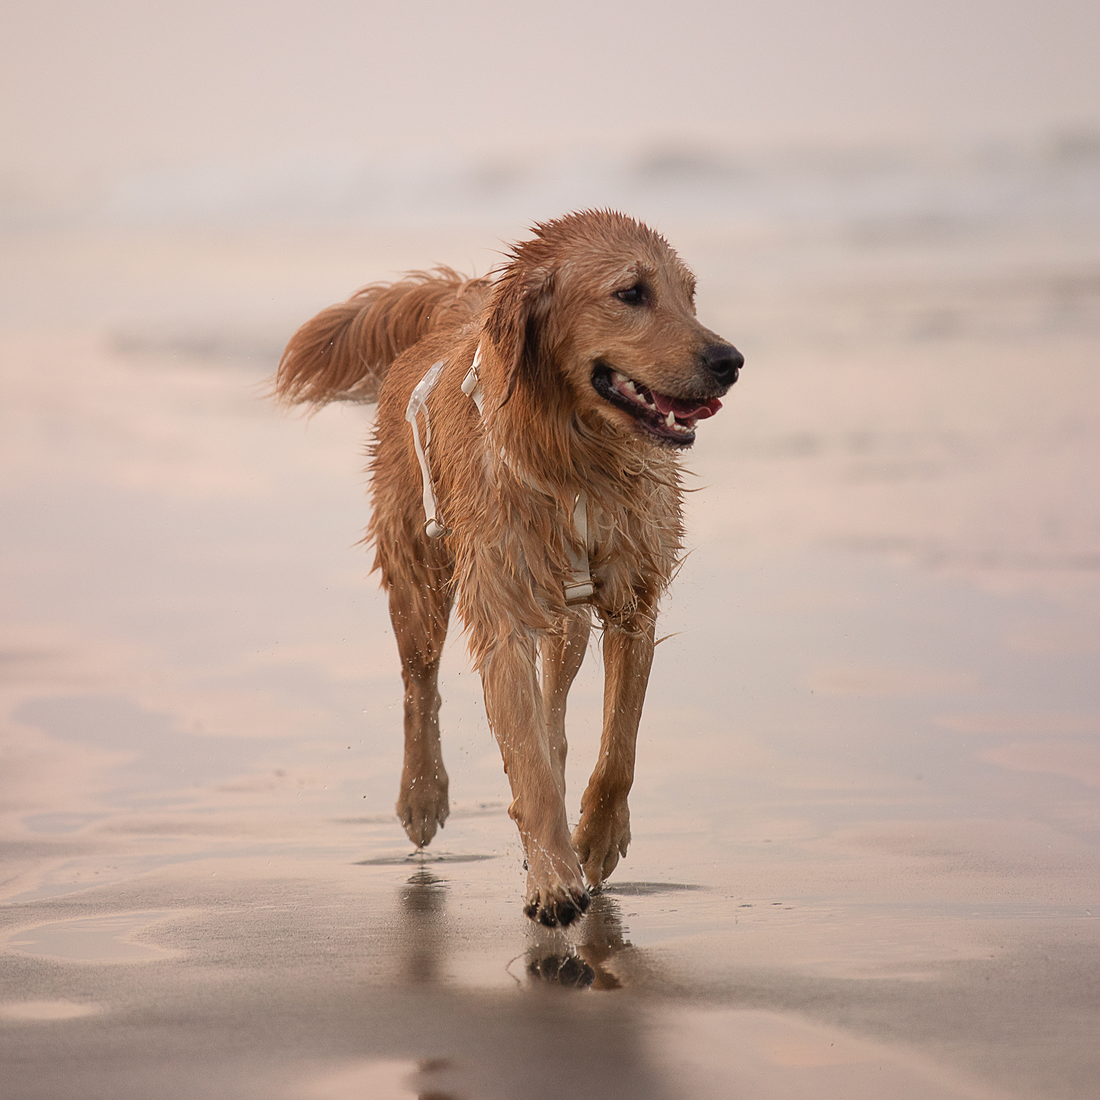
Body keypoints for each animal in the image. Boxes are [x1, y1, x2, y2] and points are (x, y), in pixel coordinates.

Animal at [275, 210, 743, 924]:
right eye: (630, 293)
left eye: (689, 295)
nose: (730, 361)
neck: (576, 457)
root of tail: (459, 305)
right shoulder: (502, 611)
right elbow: (525, 759)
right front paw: (554, 880)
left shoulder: (632, 600)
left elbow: (617, 746)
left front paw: (596, 840)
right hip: (417, 575)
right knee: (419, 685)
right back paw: (422, 796)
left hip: (565, 619)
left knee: (554, 709)